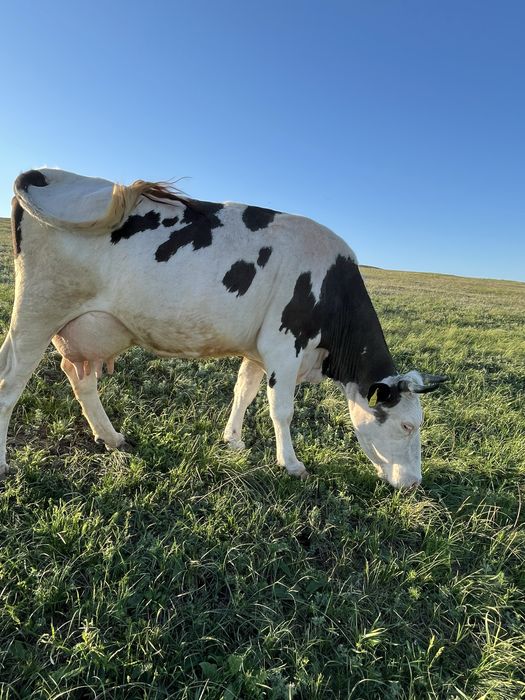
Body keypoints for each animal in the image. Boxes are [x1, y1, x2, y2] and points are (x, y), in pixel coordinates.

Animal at [0, 168, 446, 487]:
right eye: (407, 425)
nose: (414, 484)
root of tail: (50, 172)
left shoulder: (258, 350)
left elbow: (243, 393)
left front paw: (233, 441)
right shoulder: (285, 345)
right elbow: (281, 409)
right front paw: (291, 463)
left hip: (83, 325)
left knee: (80, 378)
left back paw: (112, 438)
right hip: (39, 309)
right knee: (10, 382)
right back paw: (5, 463)